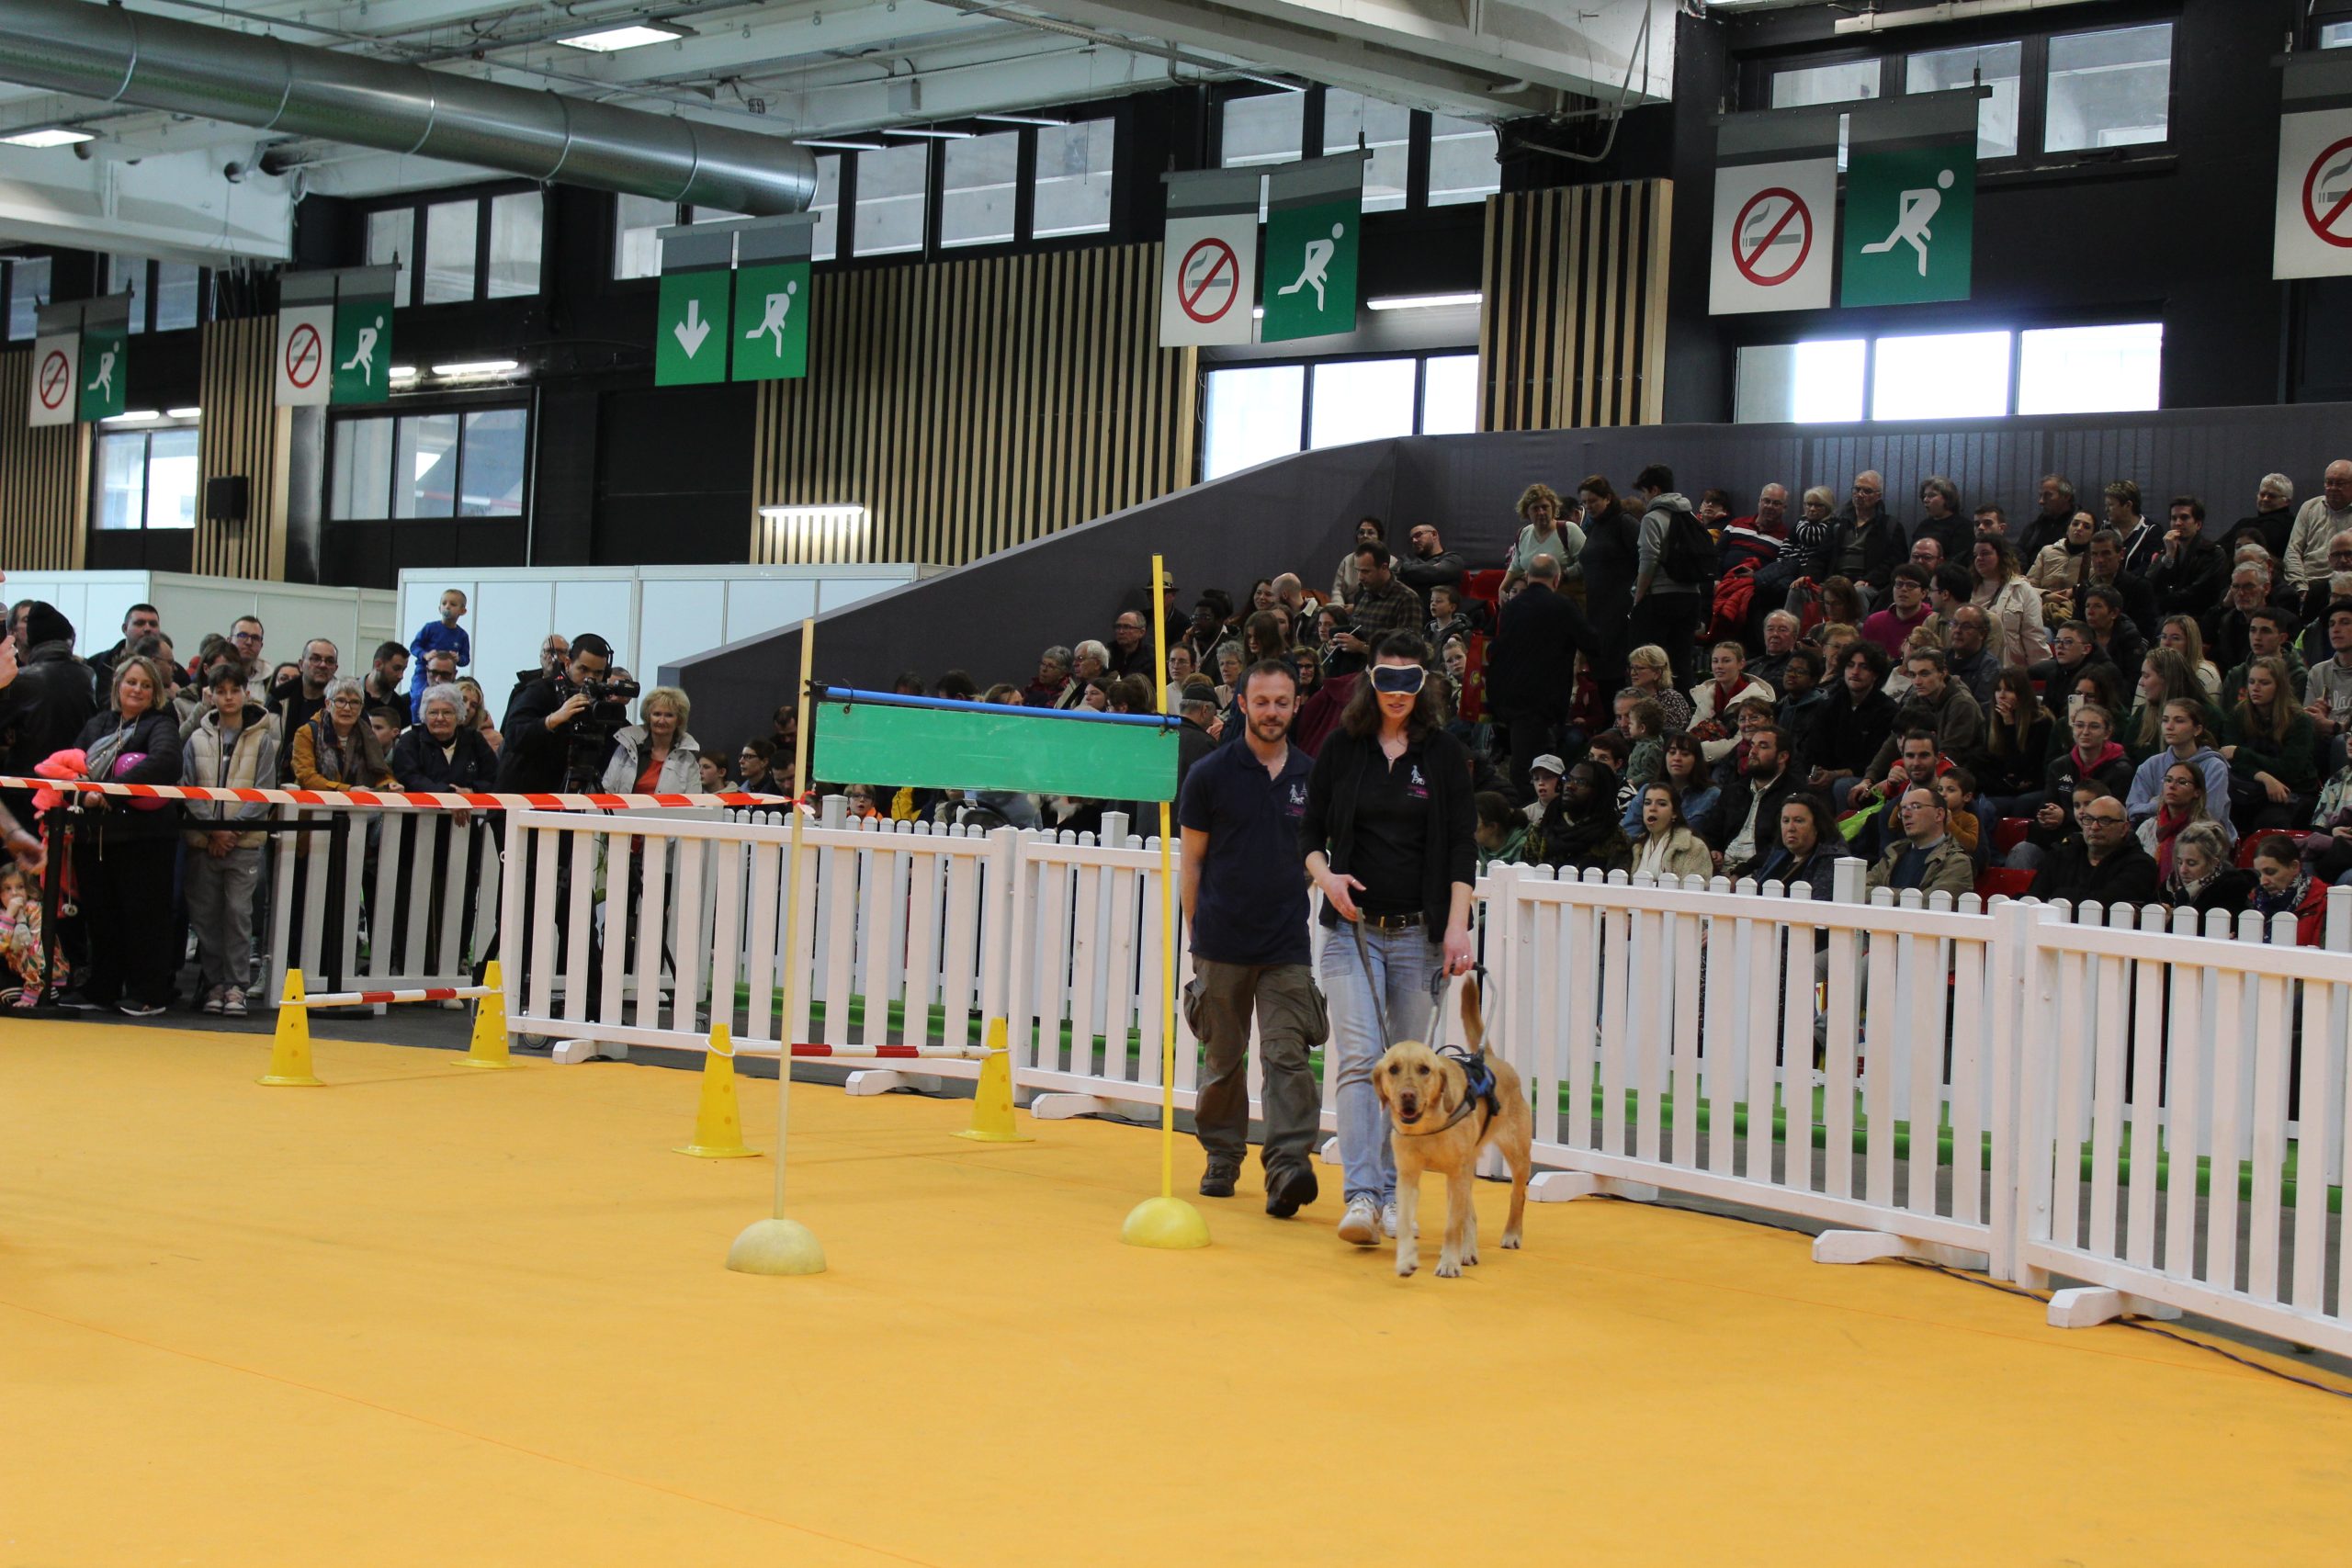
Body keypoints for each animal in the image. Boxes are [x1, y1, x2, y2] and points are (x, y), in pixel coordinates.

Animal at [1374, 973, 1533, 1279]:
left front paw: (1449, 1262)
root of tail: (1489, 1057)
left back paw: (1511, 1234)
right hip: (1469, 1167)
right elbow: (1405, 1222)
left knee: (1517, 1195)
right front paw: (1406, 1259)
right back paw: (1469, 1251)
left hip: (1516, 1154)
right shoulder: (1408, 1174)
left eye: (1424, 1069)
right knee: (1470, 1213)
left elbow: (1452, 1225)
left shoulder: (1456, 1173)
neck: (1428, 1126)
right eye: (1393, 1069)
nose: (1407, 1096)